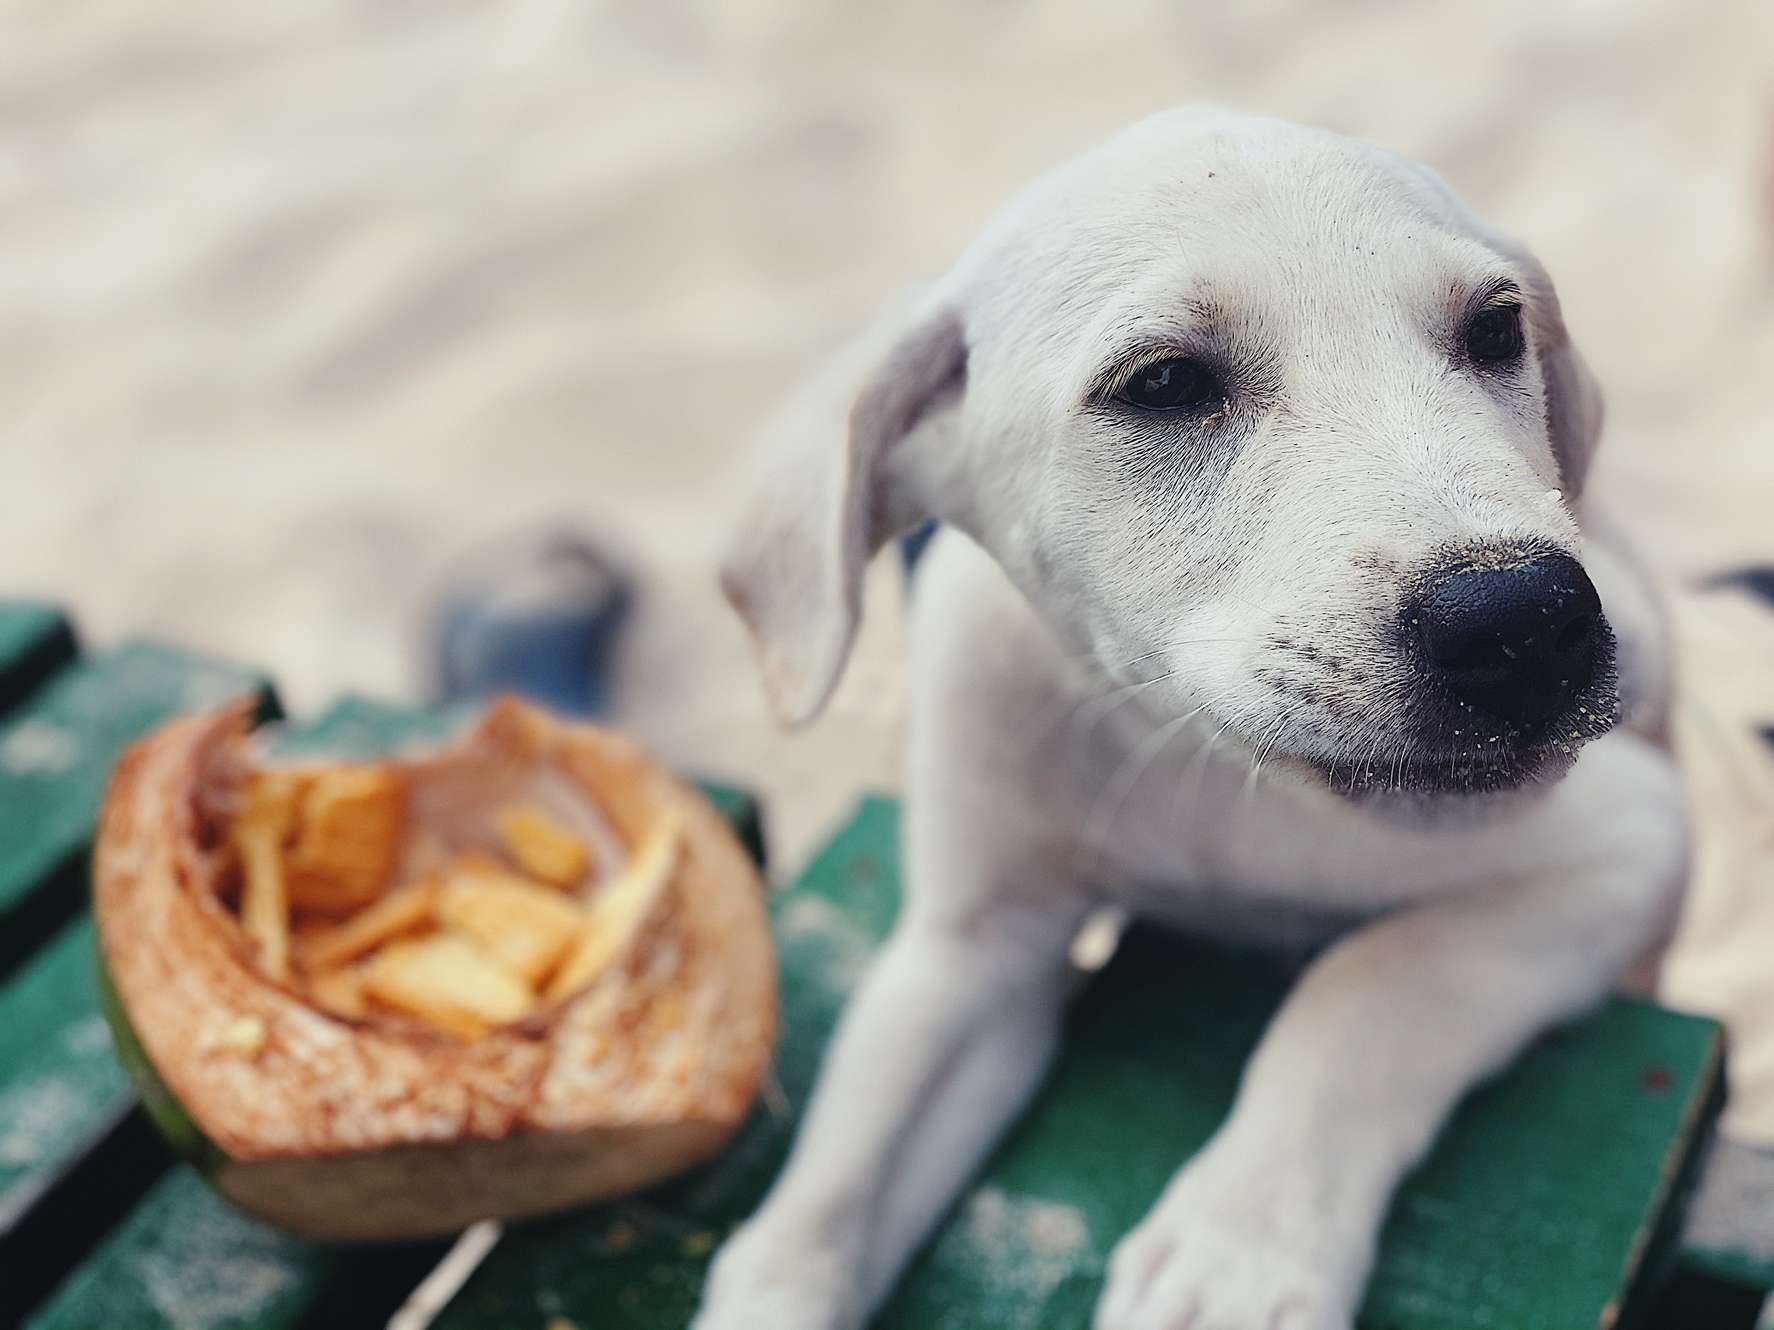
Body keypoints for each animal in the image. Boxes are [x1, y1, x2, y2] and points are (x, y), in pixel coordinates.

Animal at [698, 112, 1681, 1330]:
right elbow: (824, 1194)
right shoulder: (969, 947)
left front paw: (1235, 1252)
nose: (1525, 624)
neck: (1191, 760)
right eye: (1164, 383)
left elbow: (1366, 985)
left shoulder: (1624, 841)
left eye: (1497, 329)